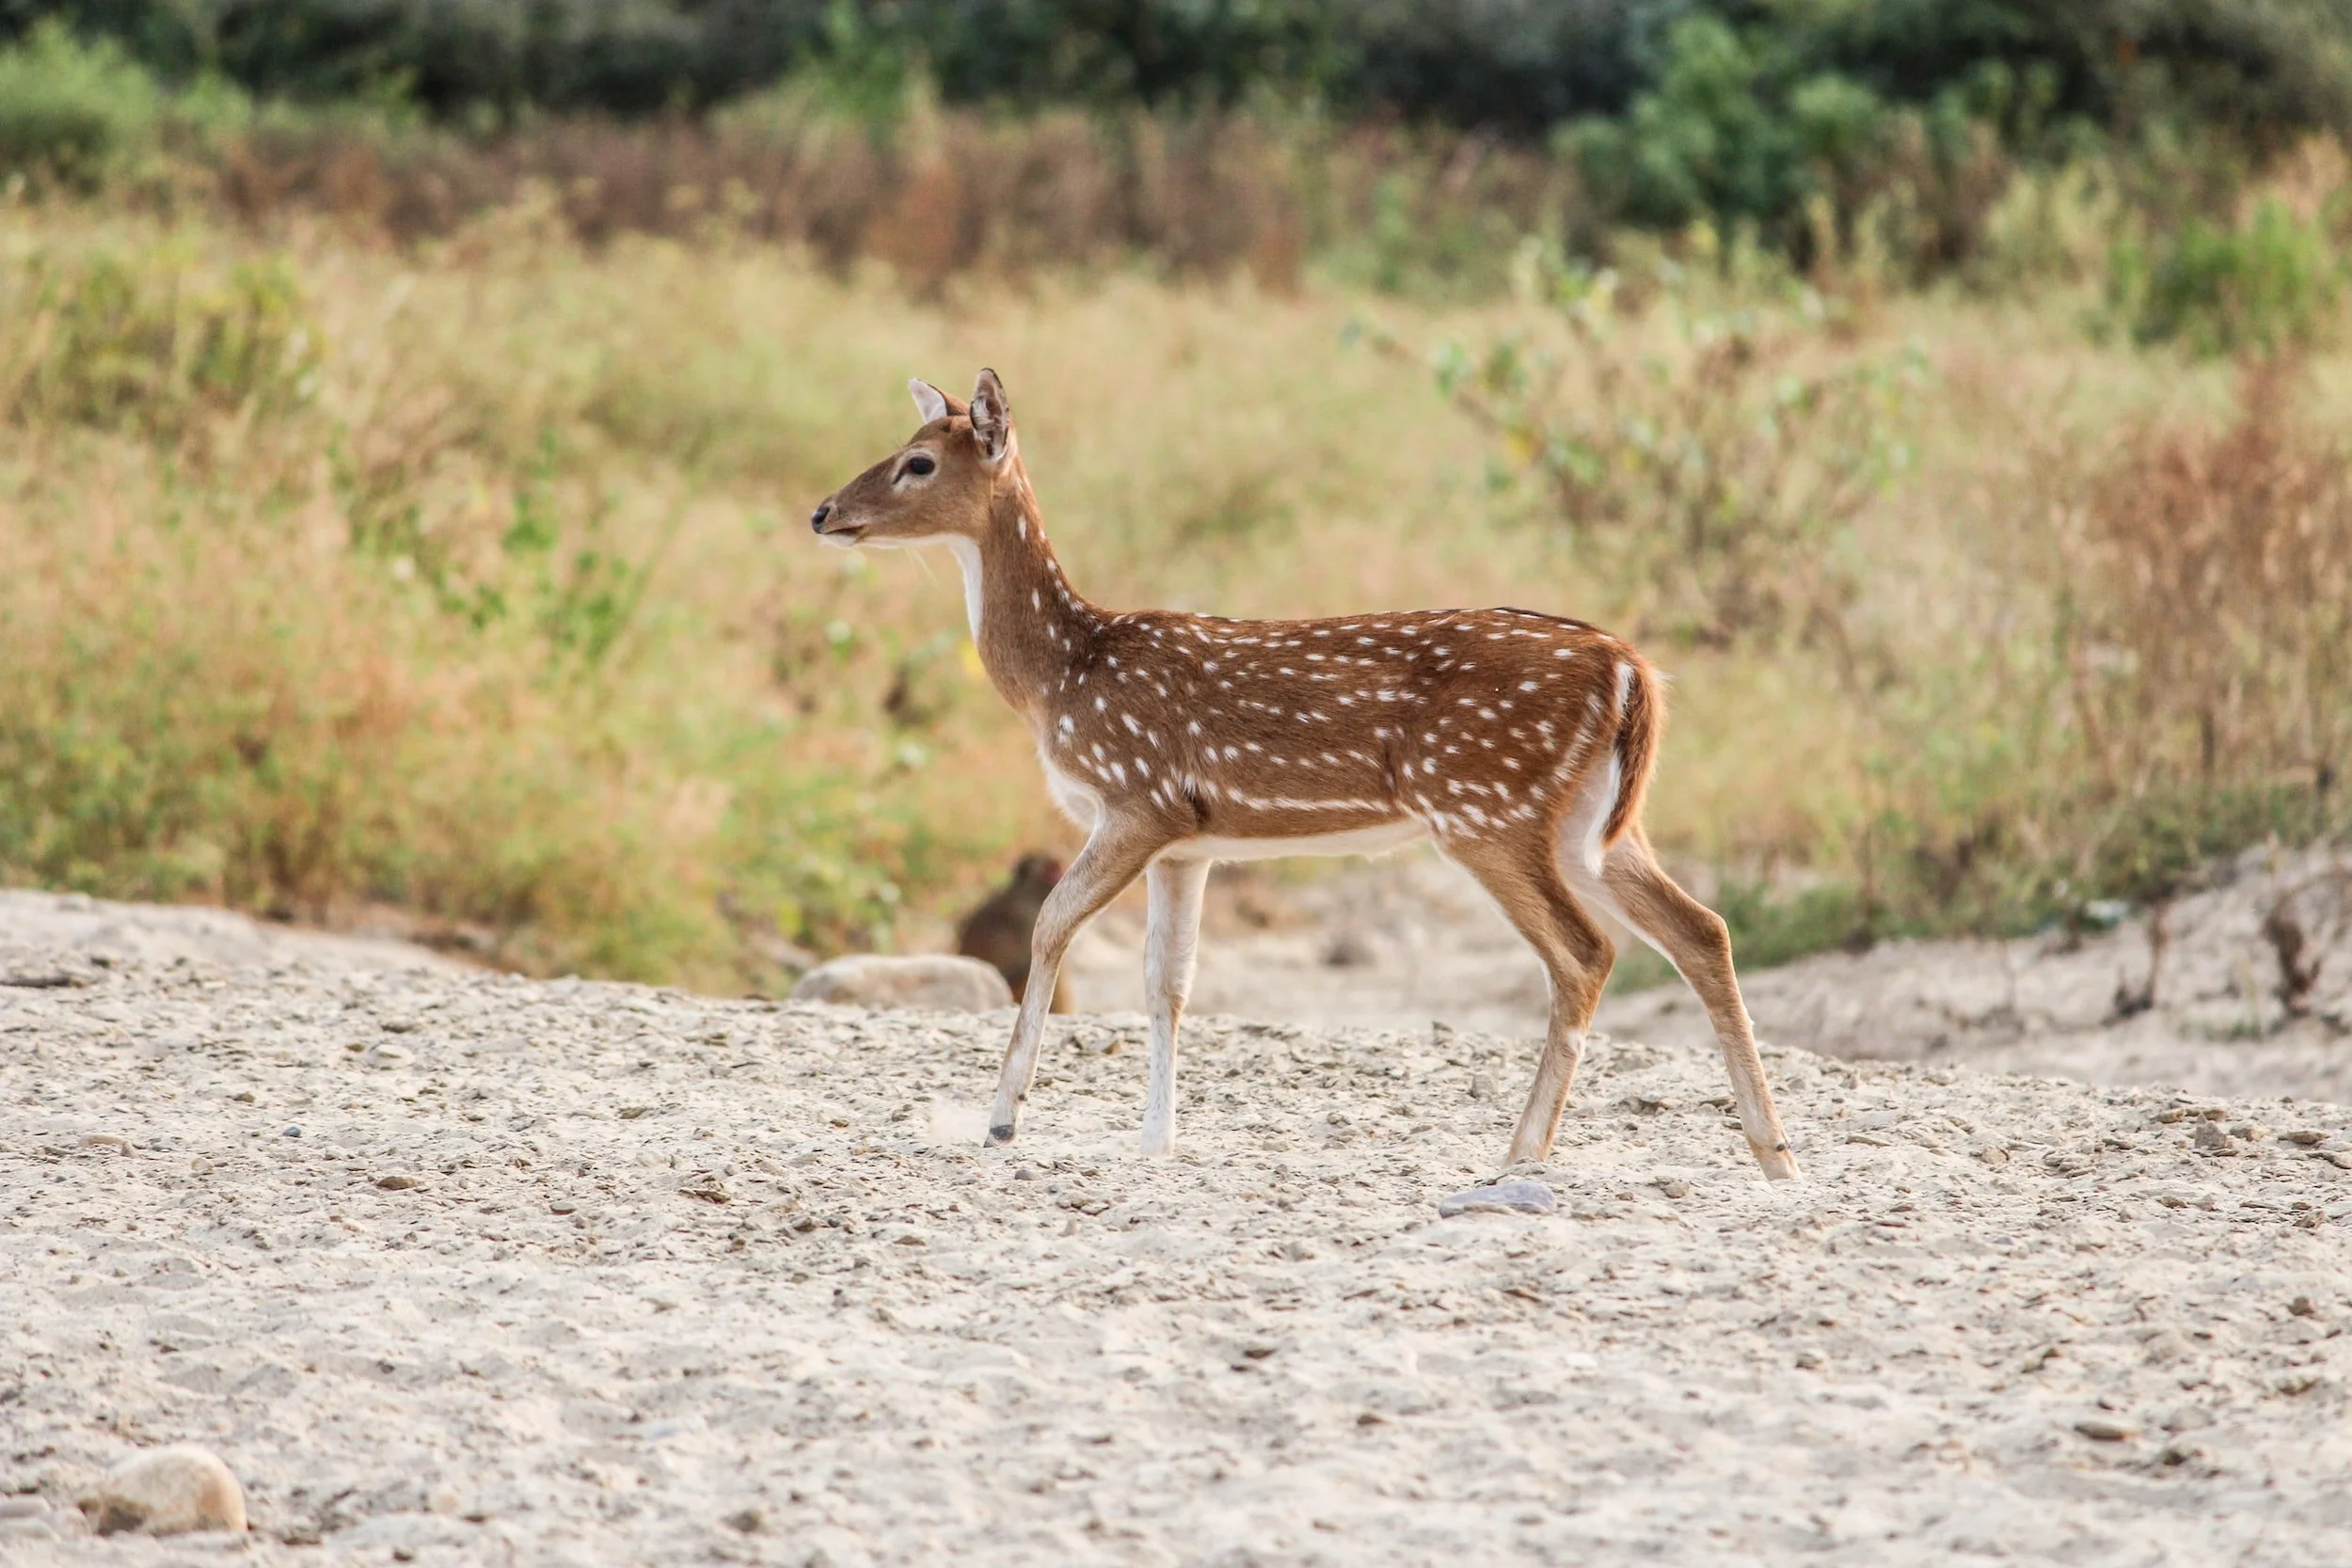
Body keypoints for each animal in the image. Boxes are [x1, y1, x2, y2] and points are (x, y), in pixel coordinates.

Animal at [809, 370, 1799, 1180]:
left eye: (918, 462)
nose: (822, 512)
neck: (1063, 677)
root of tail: (1631, 669)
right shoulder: (1189, 841)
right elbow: (1169, 982)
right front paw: (1155, 1138)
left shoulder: (1137, 796)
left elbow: (1051, 924)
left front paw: (1004, 1117)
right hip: (1595, 821)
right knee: (1702, 928)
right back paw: (1774, 1153)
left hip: (1486, 806)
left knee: (1586, 952)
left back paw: (1520, 1154)